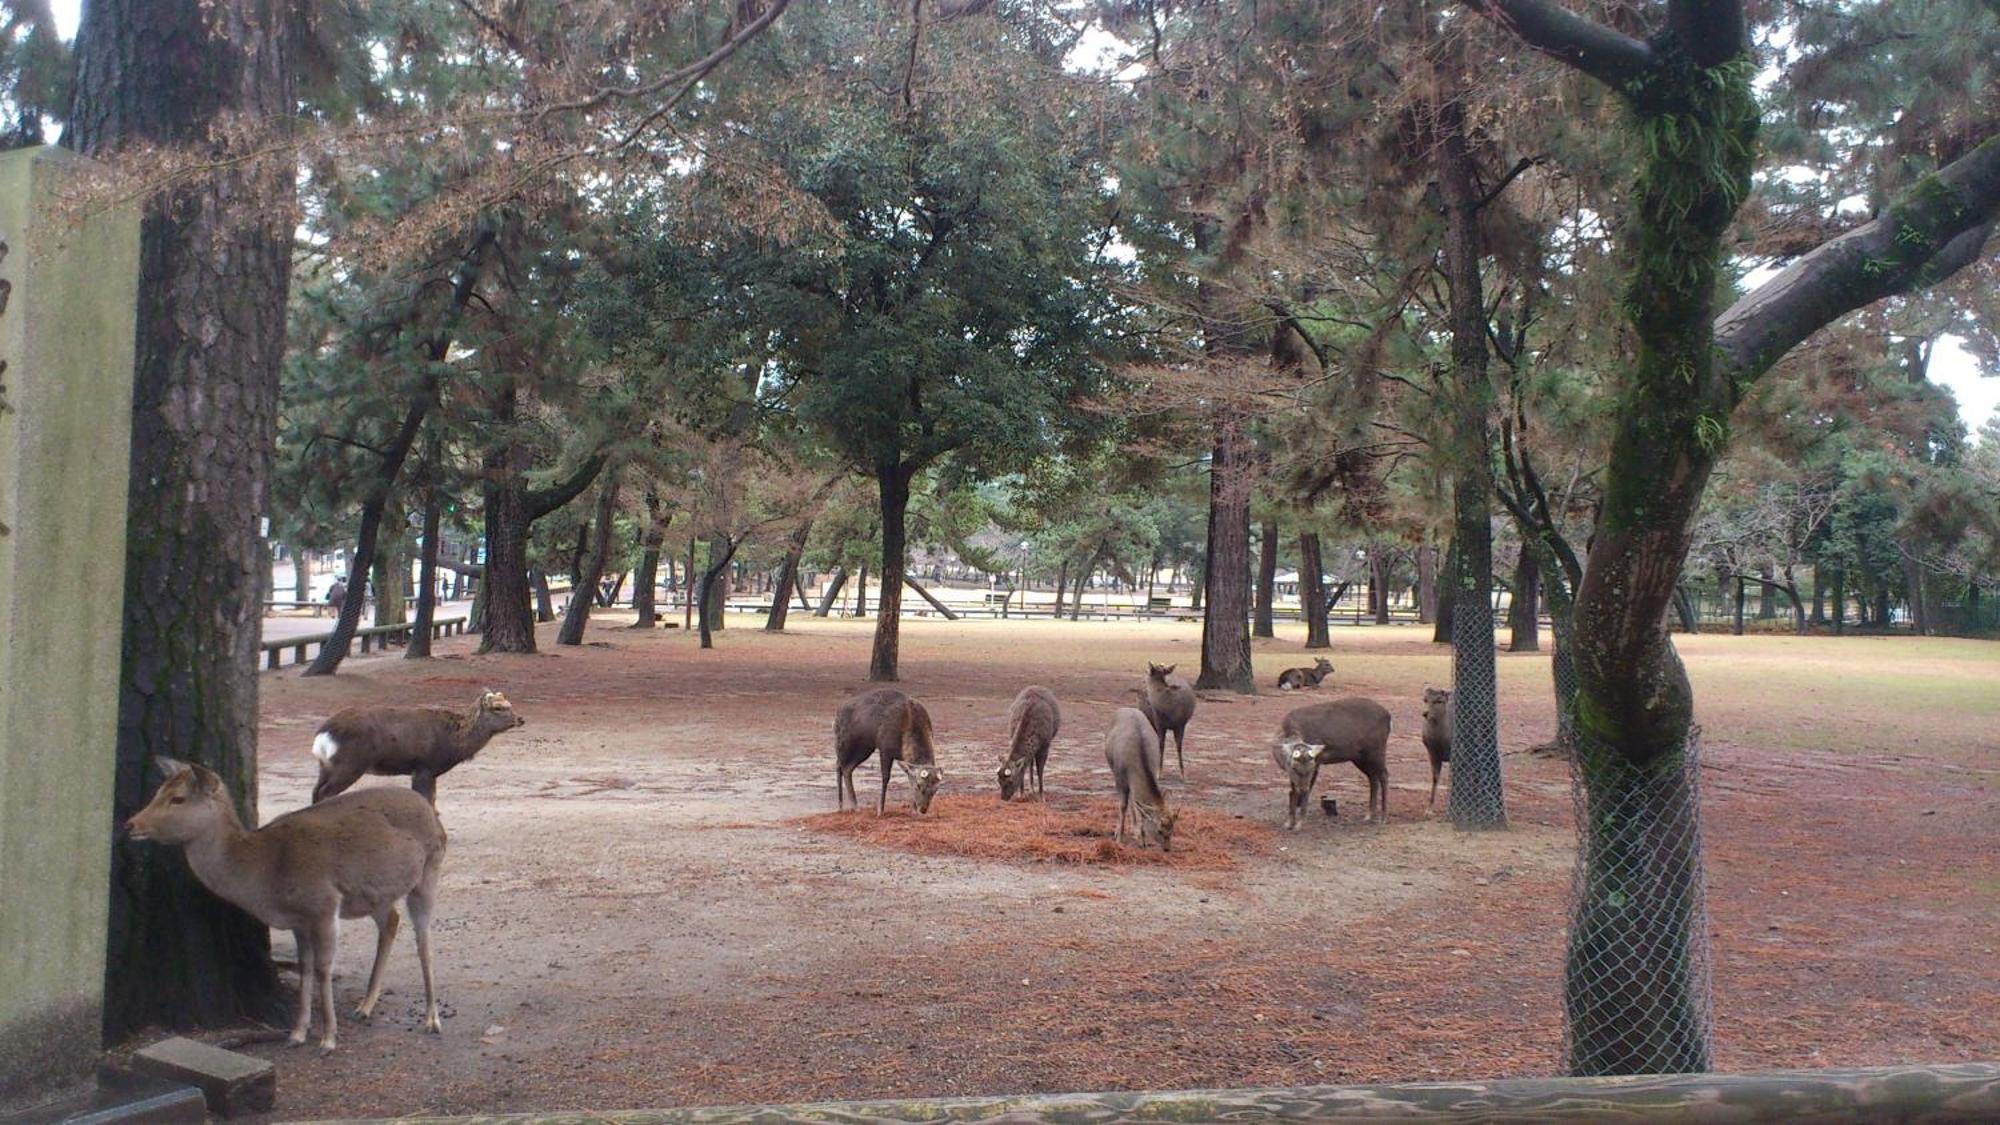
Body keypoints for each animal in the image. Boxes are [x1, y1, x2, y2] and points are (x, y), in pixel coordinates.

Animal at [125, 756, 446, 1048]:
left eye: (177, 798)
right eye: (158, 792)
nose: (130, 824)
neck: (267, 876)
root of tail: (430, 811)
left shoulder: (324, 903)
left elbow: (323, 967)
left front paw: (328, 1038)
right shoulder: (298, 921)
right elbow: (304, 967)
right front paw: (297, 1033)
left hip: (429, 870)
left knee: (424, 940)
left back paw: (432, 1019)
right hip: (374, 895)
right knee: (391, 920)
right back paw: (364, 1007)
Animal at [308, 680, 528, 800]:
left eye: (509, 704)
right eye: (498, 707)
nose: (520, 719)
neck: (453, 743)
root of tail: (322, 736)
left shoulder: (426, 771)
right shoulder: (424, 766)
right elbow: (427, 800)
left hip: (326, 765)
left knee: (316, 791)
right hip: (350, 763)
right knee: (326, 792)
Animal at [1104, 704, 1176, 844]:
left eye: (1172, 829)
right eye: (1159, 830)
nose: (1167, 847)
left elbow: (1139, 807)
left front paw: (1141, 838)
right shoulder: (1119, 777)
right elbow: (1122, 806)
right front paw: (1119, 837)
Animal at [1424, 680, 1456, 808]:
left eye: (1439, 700)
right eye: (1425, 699)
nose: (1425, 713)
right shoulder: (1431, 752)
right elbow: (1435, 777)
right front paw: (1429, 807)